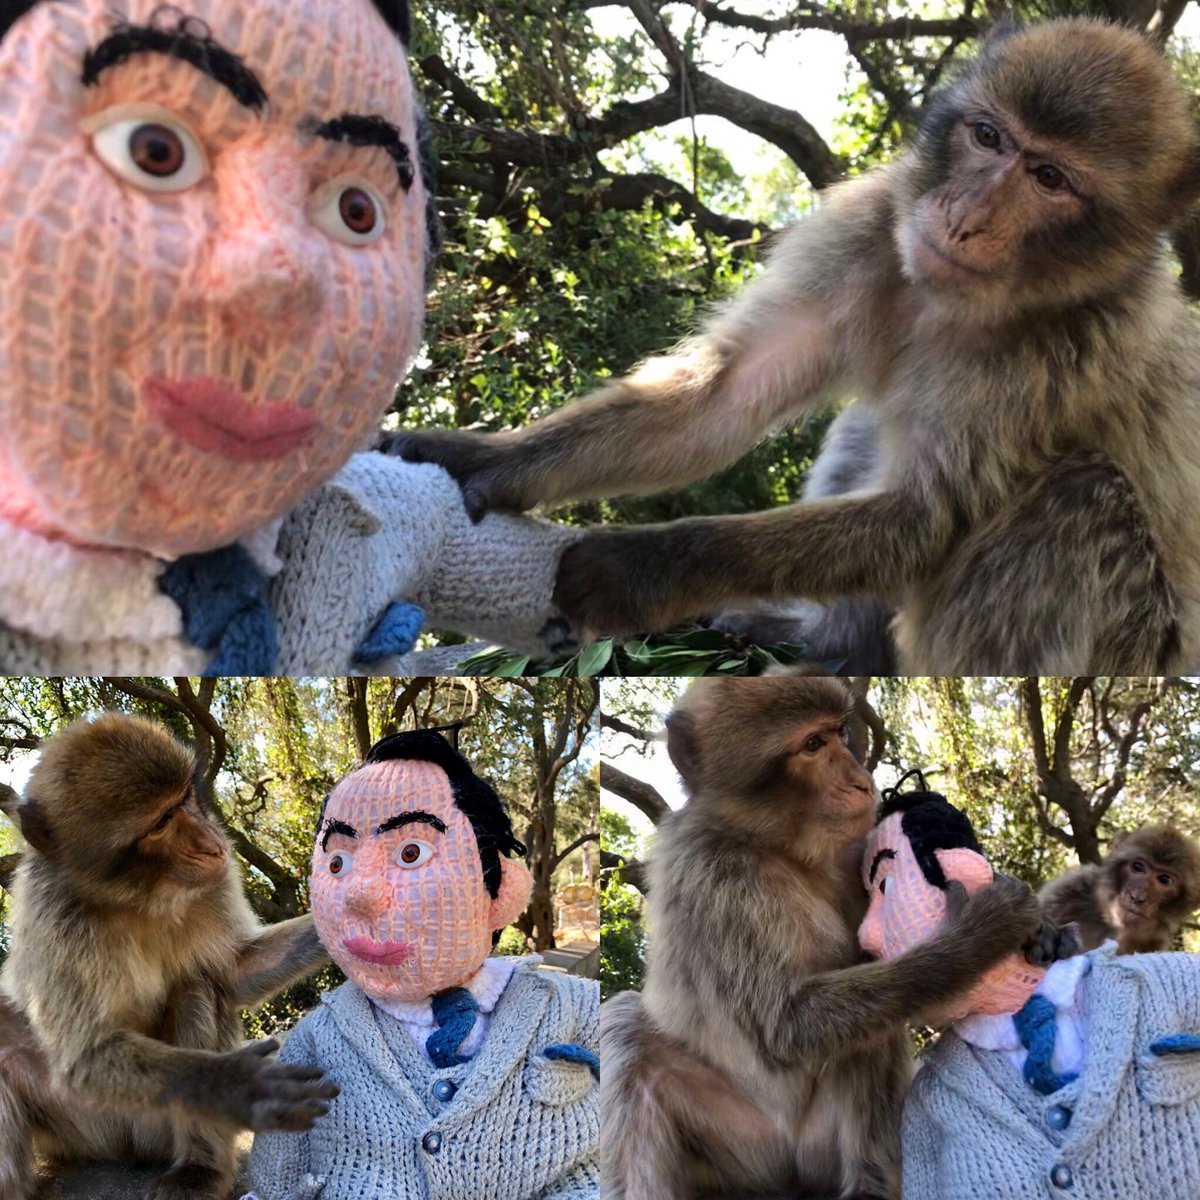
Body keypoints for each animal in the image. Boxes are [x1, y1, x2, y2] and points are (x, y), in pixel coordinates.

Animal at [0, 714, 336, 1200]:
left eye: (184, 800)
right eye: (159, 822)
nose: (211, 842)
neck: (138, 899)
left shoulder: (218, 880)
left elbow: (233, 972)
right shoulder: (51, 913)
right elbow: (85, 1057)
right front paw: (230, 1084)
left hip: (151, 1129)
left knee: (195, 988)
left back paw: (200, 1168)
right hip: (82, 1130)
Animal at [393, 19, 1200, 674]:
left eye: (1050, 177)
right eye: (988, 136)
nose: (965, 217)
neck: (959, 303)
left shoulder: (1071, 345)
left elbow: (923, 518)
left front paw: (640, 567)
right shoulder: (874, 226)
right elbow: (725, 397)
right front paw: (480, 460)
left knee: (1074, 497)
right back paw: (825, 643)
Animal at [600, 676, 1050, 1200]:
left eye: (838, 733)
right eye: (813, 745)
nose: (861, 780)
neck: (782, 848)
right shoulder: (711, 877)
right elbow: (786, 1026)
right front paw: (978, 936)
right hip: (748, 1150)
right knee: (627, 1032)